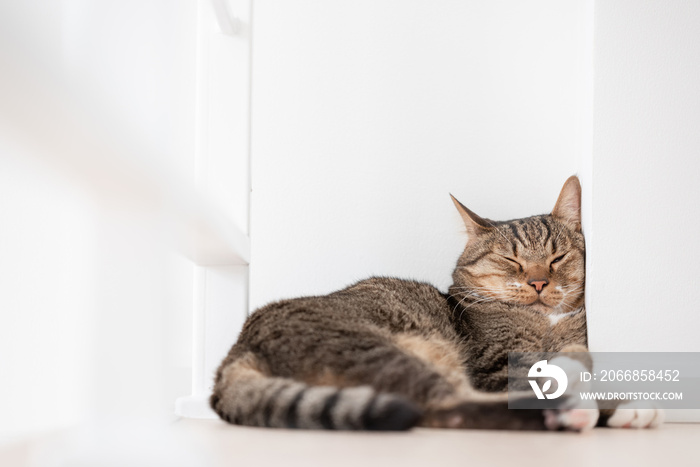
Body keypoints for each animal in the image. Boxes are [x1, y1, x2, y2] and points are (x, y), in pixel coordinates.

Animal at [209, 177, 660, 434]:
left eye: (557, 258)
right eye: (510, 260)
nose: (538, 281)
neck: (544, 323)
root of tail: (236, 352)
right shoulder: (494, 367)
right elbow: (540, 377)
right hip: (382, 349)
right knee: (446, 407)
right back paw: (572, 414)